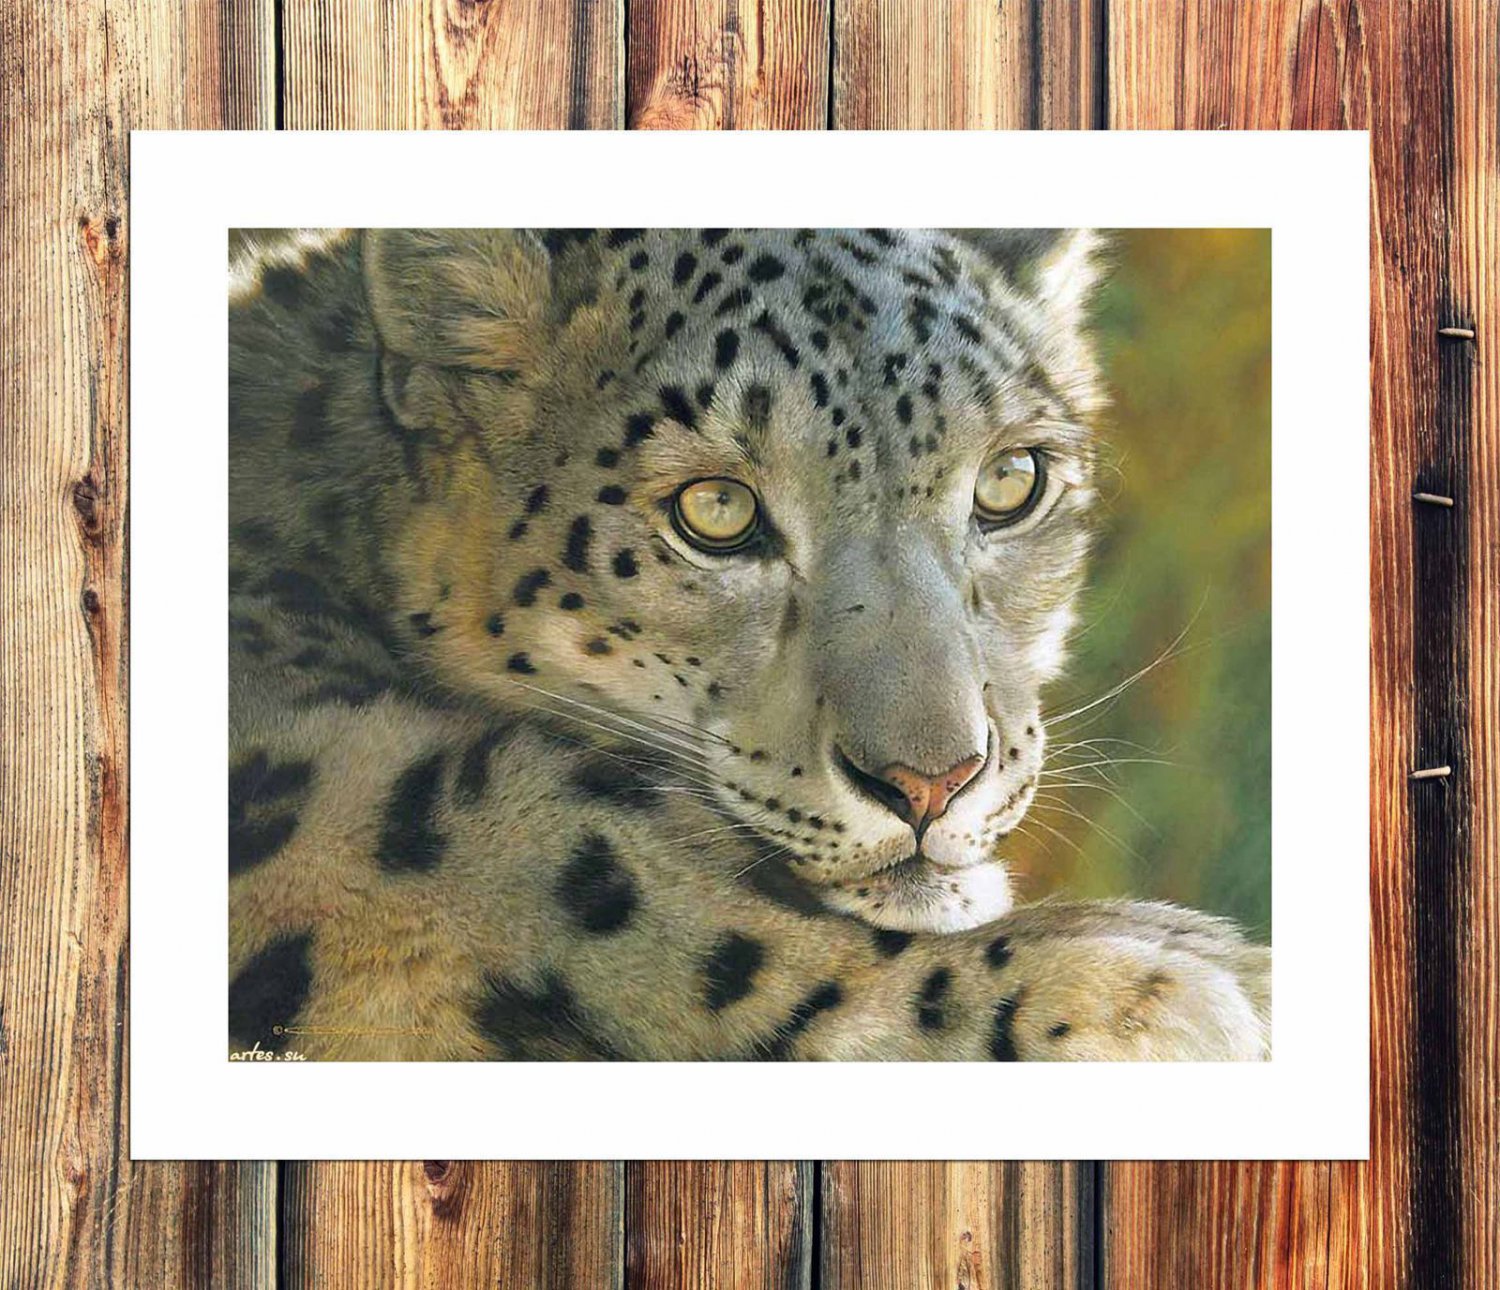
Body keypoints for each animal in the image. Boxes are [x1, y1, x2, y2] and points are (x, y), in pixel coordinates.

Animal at [227, 226, 1270, 1061]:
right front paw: (1154, 993)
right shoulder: (336, 779)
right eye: (716, 510)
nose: (931, 783)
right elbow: (592, 881)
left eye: (1012, 480)